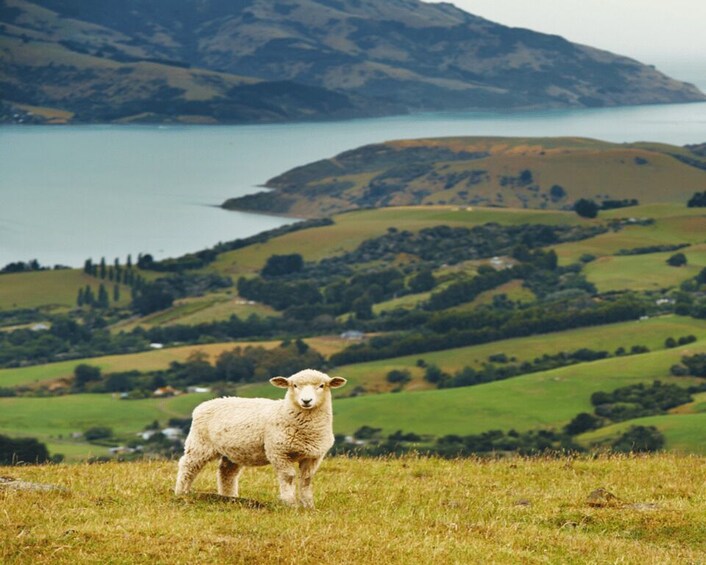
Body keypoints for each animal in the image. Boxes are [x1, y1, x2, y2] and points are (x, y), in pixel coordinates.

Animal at [174, 369, 346, 508]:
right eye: (294, 385)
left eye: (322, 386)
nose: (306, 401)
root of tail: (204, 404)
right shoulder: (278, 452)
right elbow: (288, 477)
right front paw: (290, 503)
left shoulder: (314, 456)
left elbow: (306, 479)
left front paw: (308, 505)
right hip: (199, 444)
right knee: (188, 466)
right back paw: (181, 493)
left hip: (233, 451)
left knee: (227, 472)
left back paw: (229, 498)